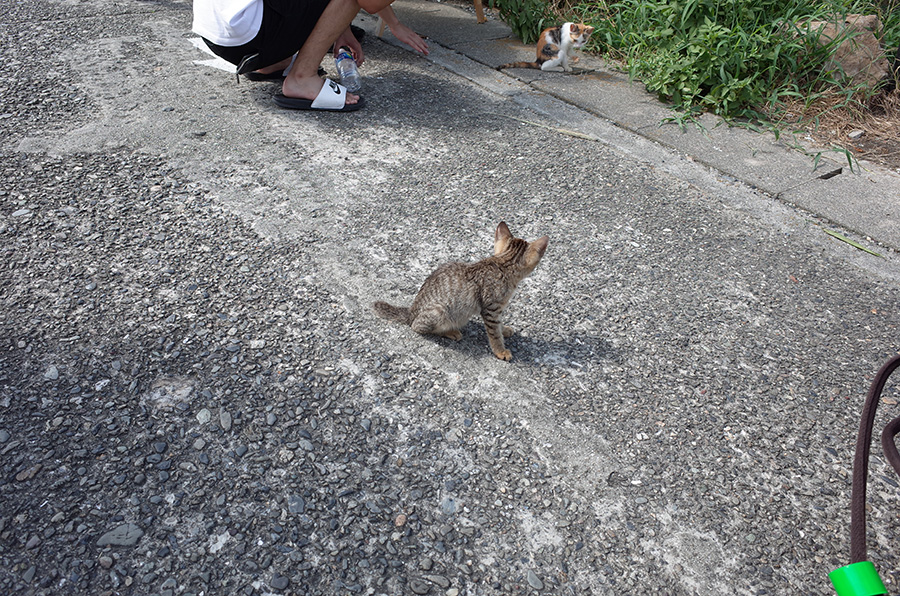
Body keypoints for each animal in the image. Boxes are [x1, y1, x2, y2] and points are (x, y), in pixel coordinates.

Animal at [372, 222, 548, 360]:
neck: (502, 264)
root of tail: (411, 312)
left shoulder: (497, 310)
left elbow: (499, 325)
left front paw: (504, 329)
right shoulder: (490, 309)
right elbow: (494, 334)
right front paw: (500, 351)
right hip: (440, 310)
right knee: (417, 327)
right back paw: (451, 332)